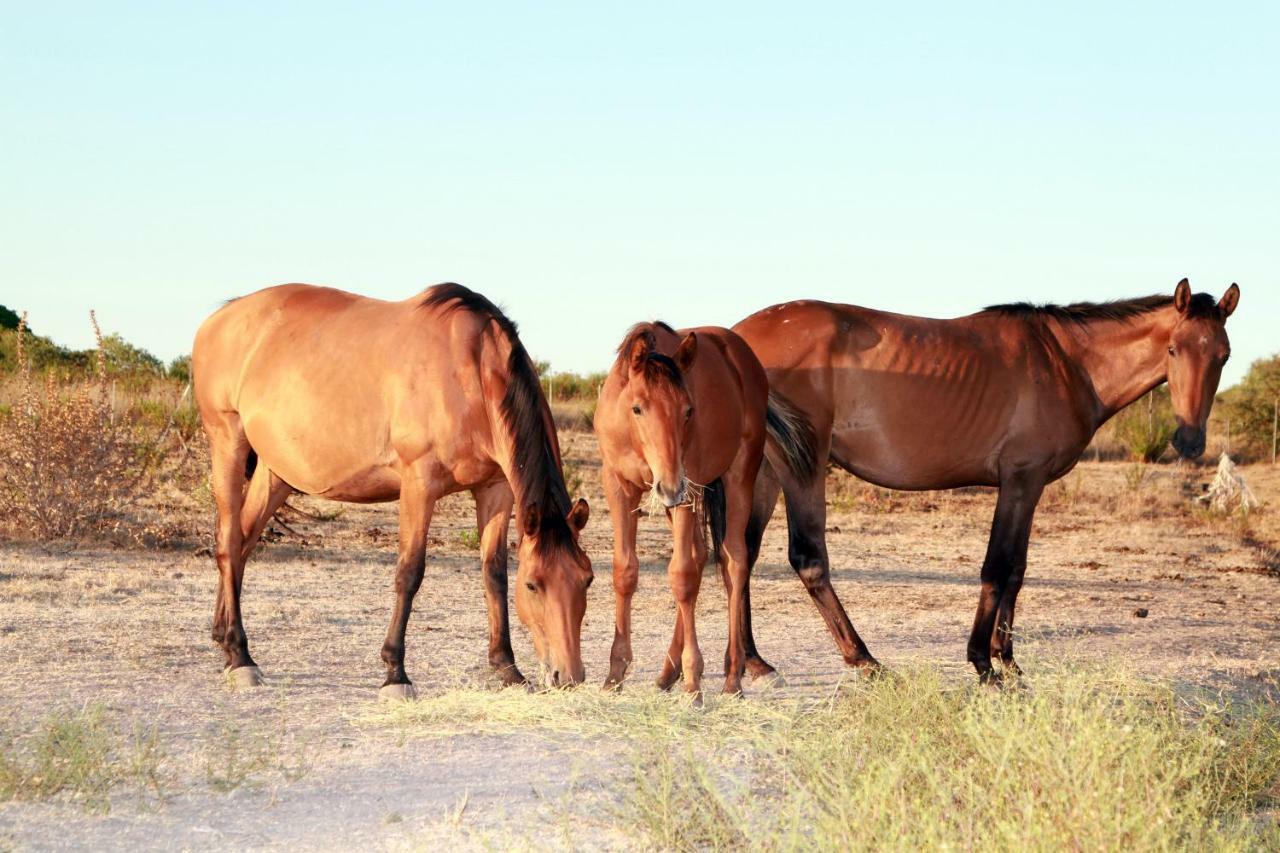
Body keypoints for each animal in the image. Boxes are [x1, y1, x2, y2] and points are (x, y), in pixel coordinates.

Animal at [192, 281, 591, 696]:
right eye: (532, 585)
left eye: (587, 579)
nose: (568, 676)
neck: (471, 372)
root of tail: (219, 318)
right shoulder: (419, 484)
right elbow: (410, 572)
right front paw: (395, 673)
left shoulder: (496, 489)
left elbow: (493, 572)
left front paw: (506, 667)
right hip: (227, 442)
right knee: (228, 542)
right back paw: (240, 655)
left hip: (275, 473)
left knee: (243, 540)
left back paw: (223, 638)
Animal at [596, 322, 803, 696]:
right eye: (637, 408)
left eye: (688, 411)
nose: (671, 485)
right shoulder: (619, 487)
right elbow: (625, 572)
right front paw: (615, 674)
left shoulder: (686, 494)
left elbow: (682, 576)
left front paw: (694, 682)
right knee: (700, 555)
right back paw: (668, 673)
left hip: (735, 478)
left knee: (733, 561)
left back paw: (732, 676)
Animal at [737, 279, 1244, 676]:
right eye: (1174, 349)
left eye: (1223, 355)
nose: (1190, 441)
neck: (1067, 363)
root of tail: (738, 338)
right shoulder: (1020, 480)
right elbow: (997, 567)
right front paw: (983, 663)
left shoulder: (1030, 487)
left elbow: (1017, 569)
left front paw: (1009, 659)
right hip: (800, 466)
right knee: (807, 559)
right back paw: (862, 658)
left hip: (762, 471)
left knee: (739, 554)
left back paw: (754, 662)